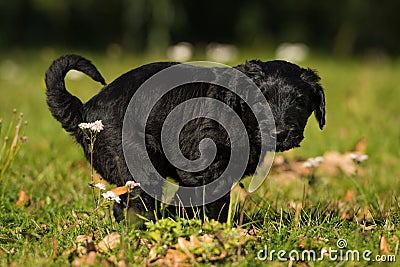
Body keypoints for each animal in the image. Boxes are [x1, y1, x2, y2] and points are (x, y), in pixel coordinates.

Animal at [45, 55, 324, 225]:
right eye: (258, 99)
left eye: (300, 102)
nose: (280, 132)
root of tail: (84, 112)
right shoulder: (202, 169)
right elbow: (210, 203)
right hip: (134, 160)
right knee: (133, 204)